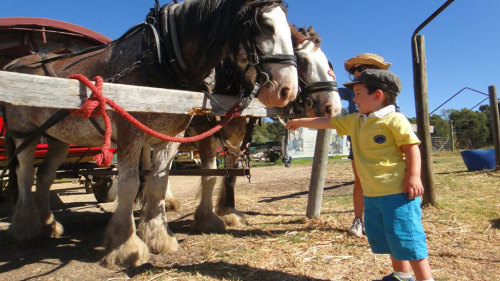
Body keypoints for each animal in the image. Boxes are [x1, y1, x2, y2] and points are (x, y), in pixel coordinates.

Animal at [2, 0, 296, 266]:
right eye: (264, 26)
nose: (288, 91)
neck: (161, 57)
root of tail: (14, 64)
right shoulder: (131, 133)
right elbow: (130, 184)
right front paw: (125, 245)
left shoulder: (172, 137)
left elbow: (159, 183)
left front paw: (159, 237)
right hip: (24, 133)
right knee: (24, 172)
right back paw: (25, 225)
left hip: (59, 139)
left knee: (45, 175)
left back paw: (48, 223)